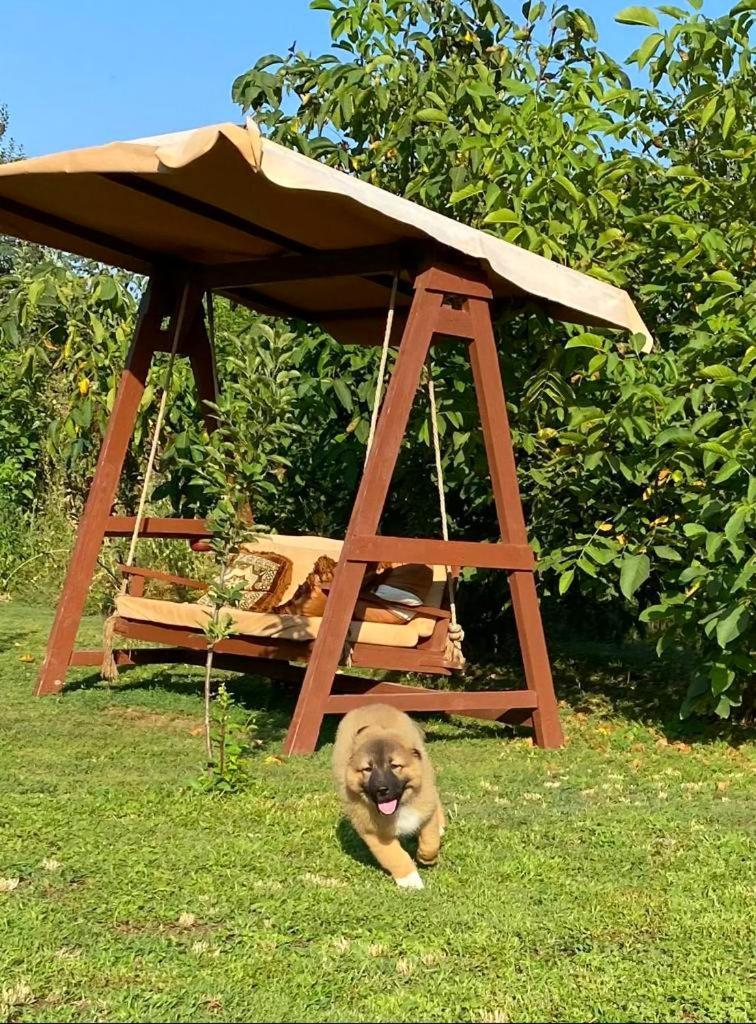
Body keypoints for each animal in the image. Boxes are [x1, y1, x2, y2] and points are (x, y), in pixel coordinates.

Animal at [331, 704, 444, 888]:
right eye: (367, 769)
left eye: (395, 766)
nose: (382, 789)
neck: (400, 808)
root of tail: (371, 705)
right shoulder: (373, 832)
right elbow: (395, 856)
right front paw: (411, 881)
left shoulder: (425, 809)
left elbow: (430, 840)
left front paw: (425, 857)